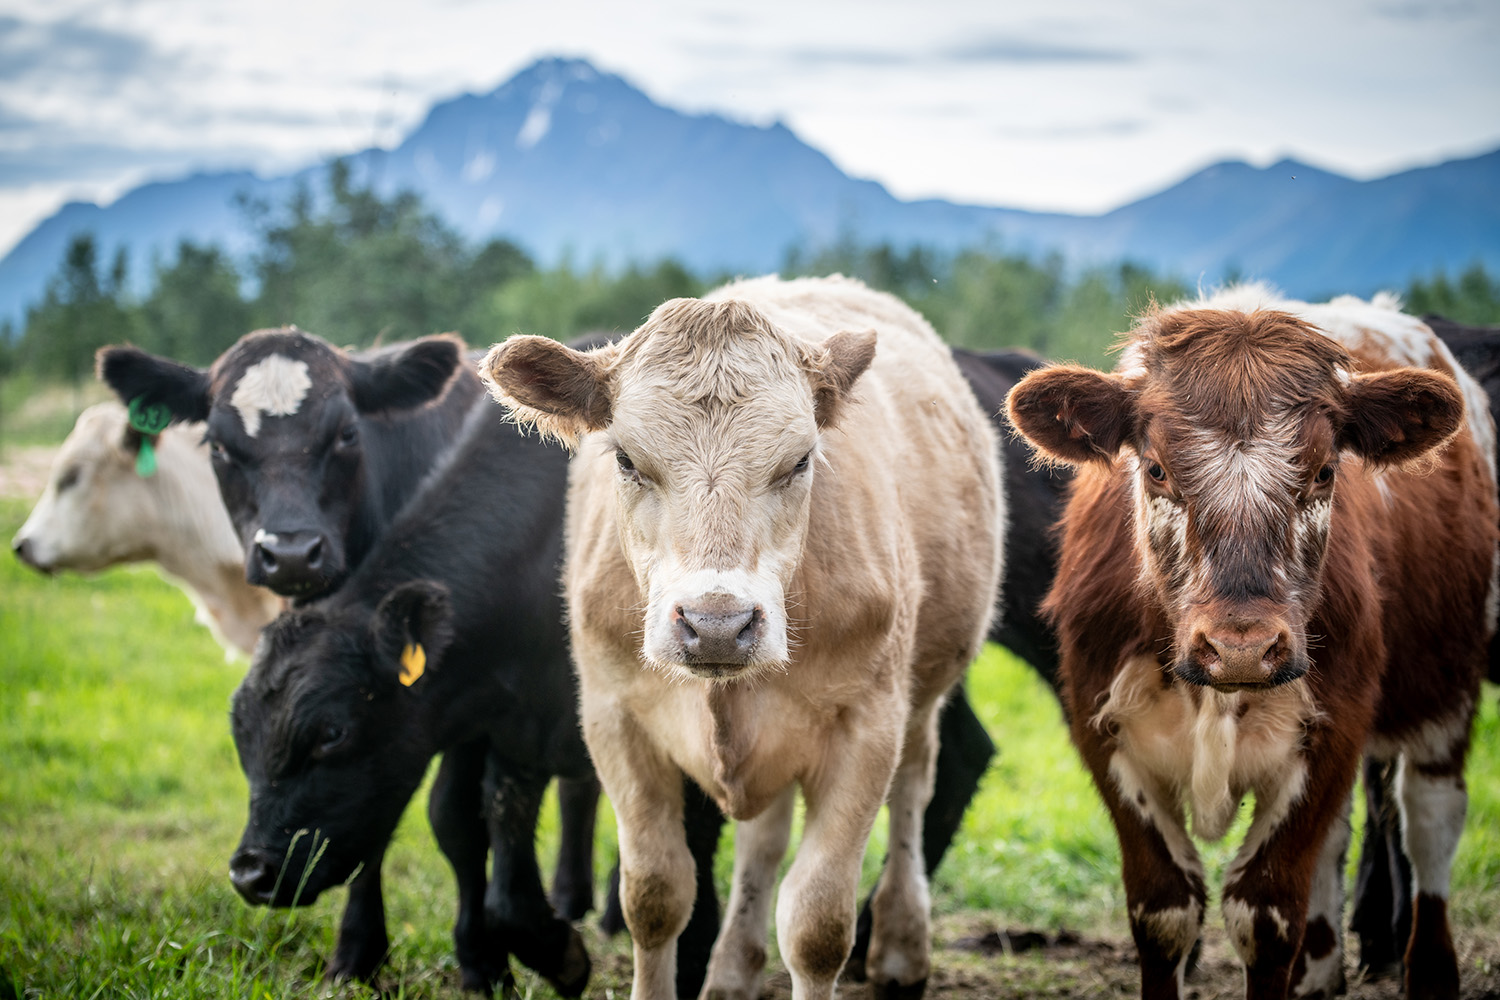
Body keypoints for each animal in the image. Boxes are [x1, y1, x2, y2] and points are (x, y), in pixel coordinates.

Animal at [482, 274, 1003, 1000]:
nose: (716, 626)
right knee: (764, 839)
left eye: (800, 461)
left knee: (913, 788)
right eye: (626, 459)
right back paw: (732, 968)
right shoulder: (615, 720)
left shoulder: (867, 727)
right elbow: (654, 896)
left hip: (922, 692)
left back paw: (901, 945)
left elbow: (817, 924)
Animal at [1006, 287, 1496, 1000]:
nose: (1241, 647)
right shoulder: (1107, 733)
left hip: (1445, 682)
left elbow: (1265, 914)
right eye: (1156, 469)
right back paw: (1319, 972)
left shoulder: (1334, 731)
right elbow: (1163, 910)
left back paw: (1430, 970)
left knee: (1430, 817)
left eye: (1324, 472)